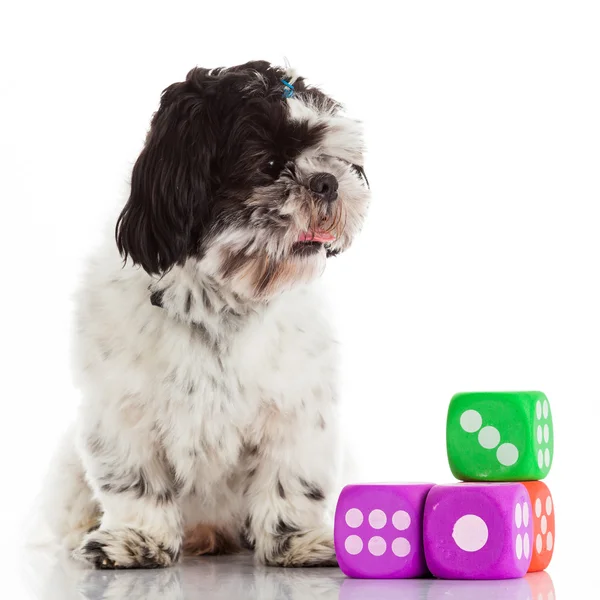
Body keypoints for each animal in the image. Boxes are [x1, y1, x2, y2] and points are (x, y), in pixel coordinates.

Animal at [42, 58, 368, 568]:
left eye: (334, 158)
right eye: (269, 165)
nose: (327, 182)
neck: (222, 304)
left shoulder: (296, 412)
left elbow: (291, 482)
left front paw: (298, 541)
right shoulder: (121, 413)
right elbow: (135, 483)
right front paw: (137, 539)